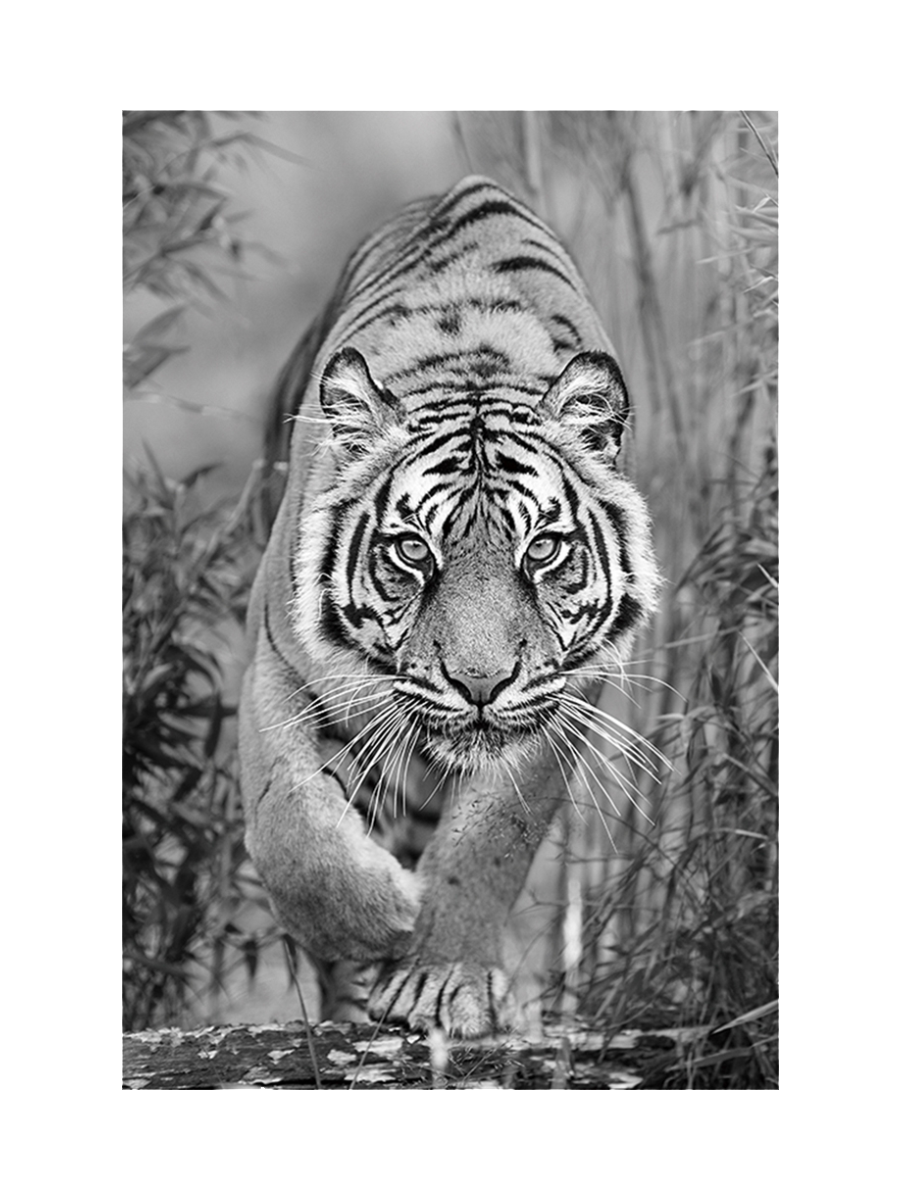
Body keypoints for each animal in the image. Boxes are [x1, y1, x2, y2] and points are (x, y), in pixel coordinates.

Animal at [238, 175, 661, 1037]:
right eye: (411, 552)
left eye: (542, 550)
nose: (479, 685)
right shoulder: (277, 666)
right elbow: (290, 823)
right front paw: (378, 920)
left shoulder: (564, 696)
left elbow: (492, 839)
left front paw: (438, 977)